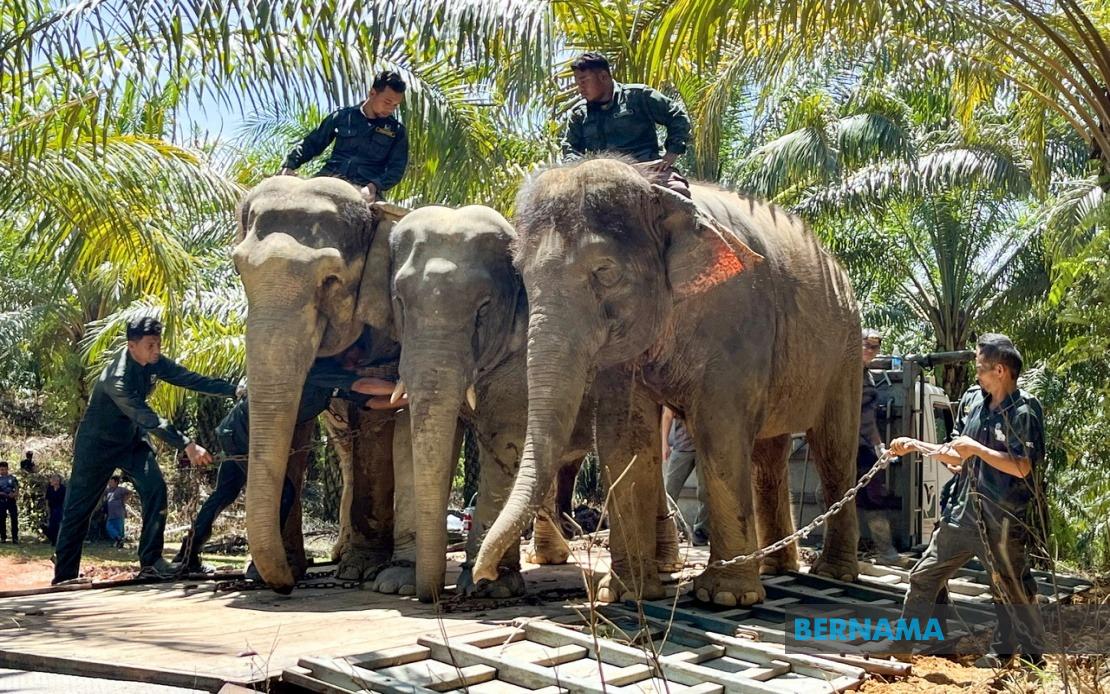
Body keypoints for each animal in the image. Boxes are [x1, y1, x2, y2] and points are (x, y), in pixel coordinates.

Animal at [472, 158, 861, 604]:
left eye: (604, 271)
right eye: (521, 275)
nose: (481, 575)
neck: (658, 192)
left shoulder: (737, 316)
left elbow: (720, 431)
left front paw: (725, 597)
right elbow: (623, 437)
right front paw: (623, 594)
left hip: (847, 348)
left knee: (834, 448)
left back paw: (832, 574)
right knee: (769, 455)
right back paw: (776, 568)